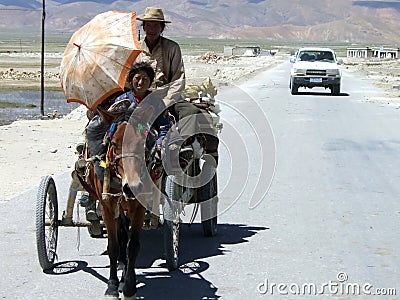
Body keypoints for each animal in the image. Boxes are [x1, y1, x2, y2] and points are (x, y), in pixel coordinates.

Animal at [86, 104, 155, 298]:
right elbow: (114, 247)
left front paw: (130, 287)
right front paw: (112, 286)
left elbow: (133, 246)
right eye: (115, 143)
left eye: (142, 142)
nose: (132, 187)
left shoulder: (139, 207)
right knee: (121, 232)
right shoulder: (107, 207)